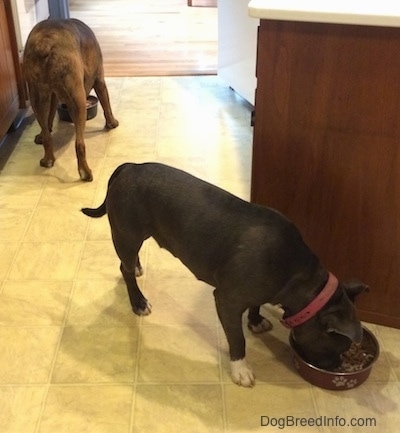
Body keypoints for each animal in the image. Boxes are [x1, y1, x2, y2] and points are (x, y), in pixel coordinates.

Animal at [23, 18, 119, 181]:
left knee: (48, 136)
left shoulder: (52, 96)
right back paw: (85, 172)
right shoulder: (99, 80)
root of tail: (45, 43)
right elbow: (107, 105)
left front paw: (43, 133)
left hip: (36, 97)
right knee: (79, 144)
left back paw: (48, 159)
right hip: (78, 100)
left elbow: (49, 117)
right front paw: (112, 123)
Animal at [82, 162, 368, 384]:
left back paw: (139, 269)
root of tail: (130, 167)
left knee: (130, 264)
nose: (335, 367)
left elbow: (255, 305)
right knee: (125, 269)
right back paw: (138, 302)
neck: (299, 277)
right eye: (340, 345)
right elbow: (238, 339)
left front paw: (256, 321)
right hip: (126, 235)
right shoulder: (227, 302)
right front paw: (240, 369)